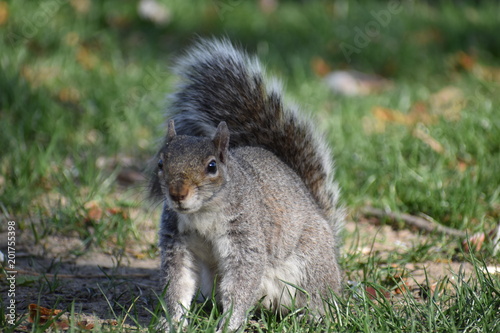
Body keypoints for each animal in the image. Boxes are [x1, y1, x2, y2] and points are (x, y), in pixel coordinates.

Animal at [148, 38, 344, 330]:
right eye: (161, 163)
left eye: (212, 166)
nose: (177, 194)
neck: (202, 214)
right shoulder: (177, 242)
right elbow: (178, 284)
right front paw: (172, 322)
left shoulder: (246, 238)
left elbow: (241, 284)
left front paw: (229, 324)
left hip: (311, 267)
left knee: (318, 297)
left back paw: (315, 317)